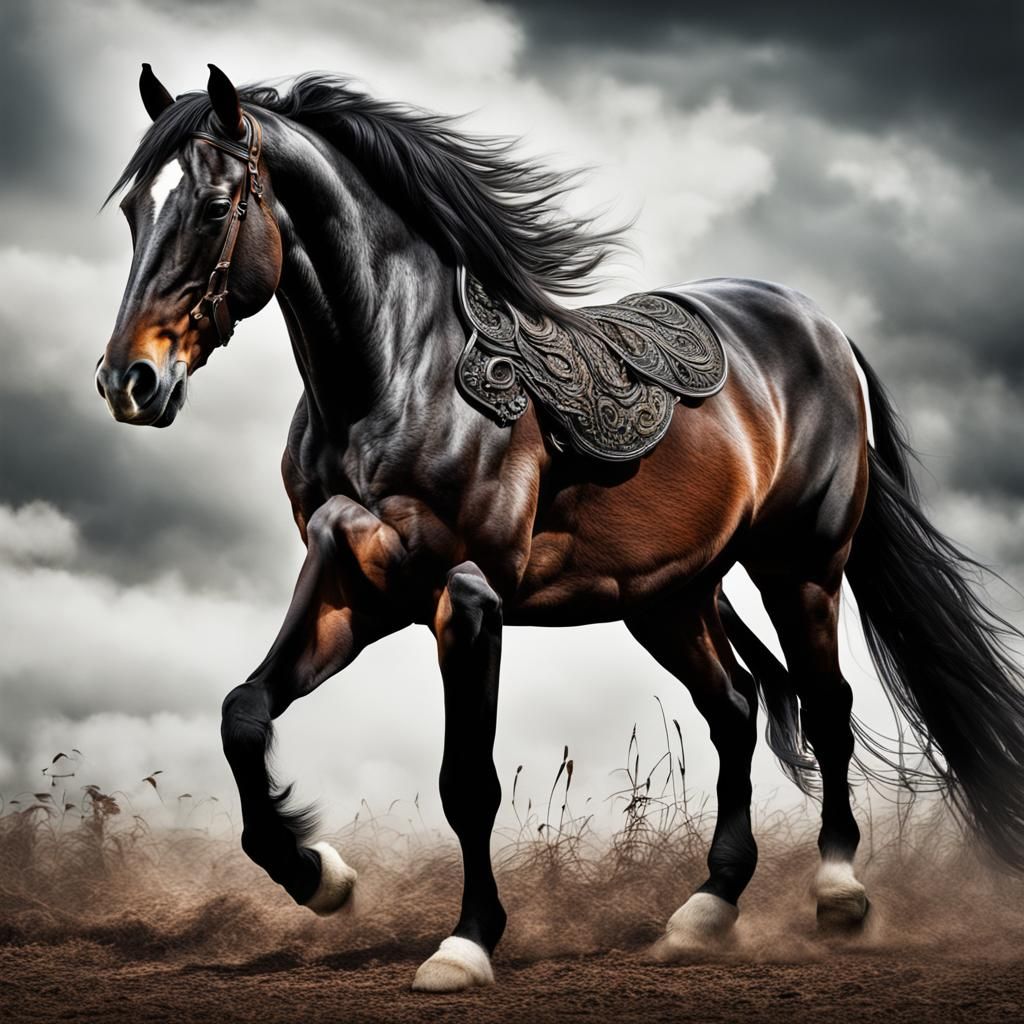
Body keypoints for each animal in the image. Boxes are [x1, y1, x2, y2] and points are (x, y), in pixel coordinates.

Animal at [96, 64, 1024, 991]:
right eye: (134, 209)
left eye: (215, 207)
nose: (128, 381)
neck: (399, 372)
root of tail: (819, 326)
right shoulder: (352, 586)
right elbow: (244, 714)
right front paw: (318, 875)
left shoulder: (468, 599)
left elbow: (468, 783)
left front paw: (466, 944)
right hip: (667, 597)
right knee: (734, 707)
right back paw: (707, 908)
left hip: (801, 565)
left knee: (827, 705)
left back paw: (838, 894)